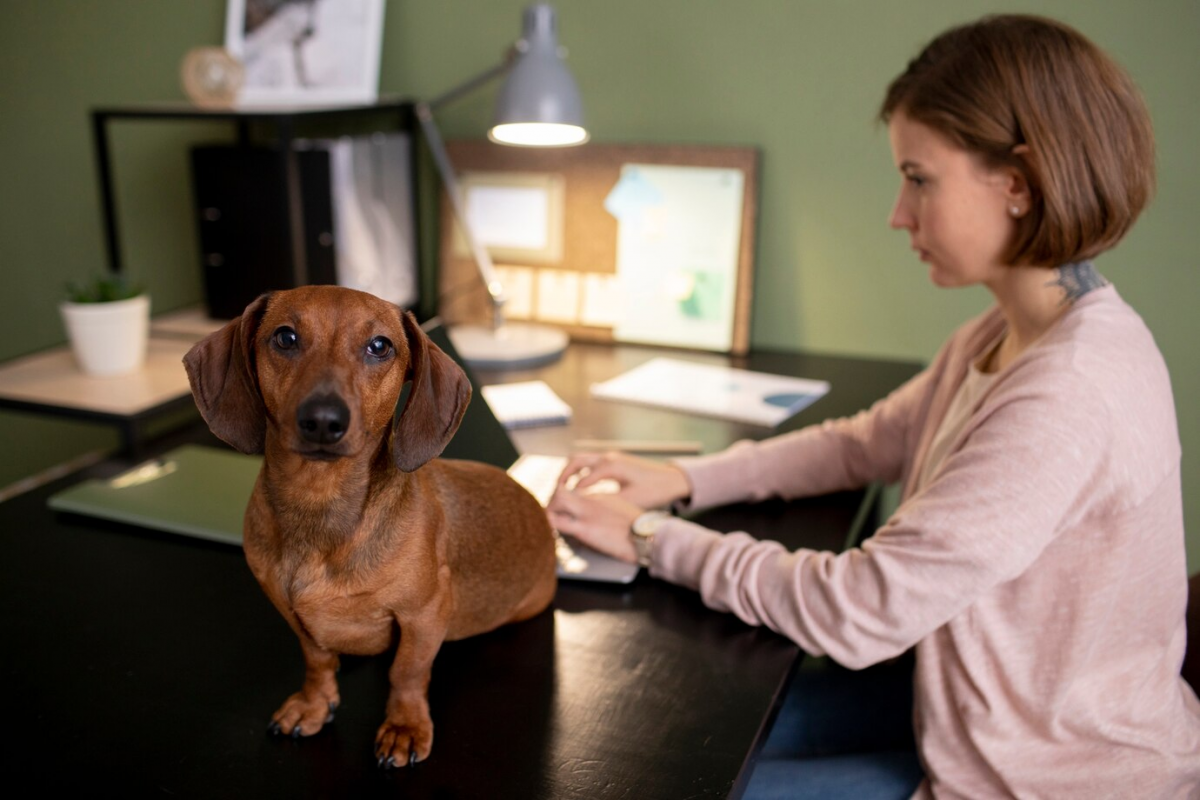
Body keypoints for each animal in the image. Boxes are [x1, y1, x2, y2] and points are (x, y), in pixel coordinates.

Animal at [182, 287, 556, 767]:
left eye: (380, 346)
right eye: (285, 337)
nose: (324, 420)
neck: (320, 507)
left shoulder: (424, 615)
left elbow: (407, 671)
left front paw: (404, 726)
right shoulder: (294, 616)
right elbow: (318, 661)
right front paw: (315, 704)